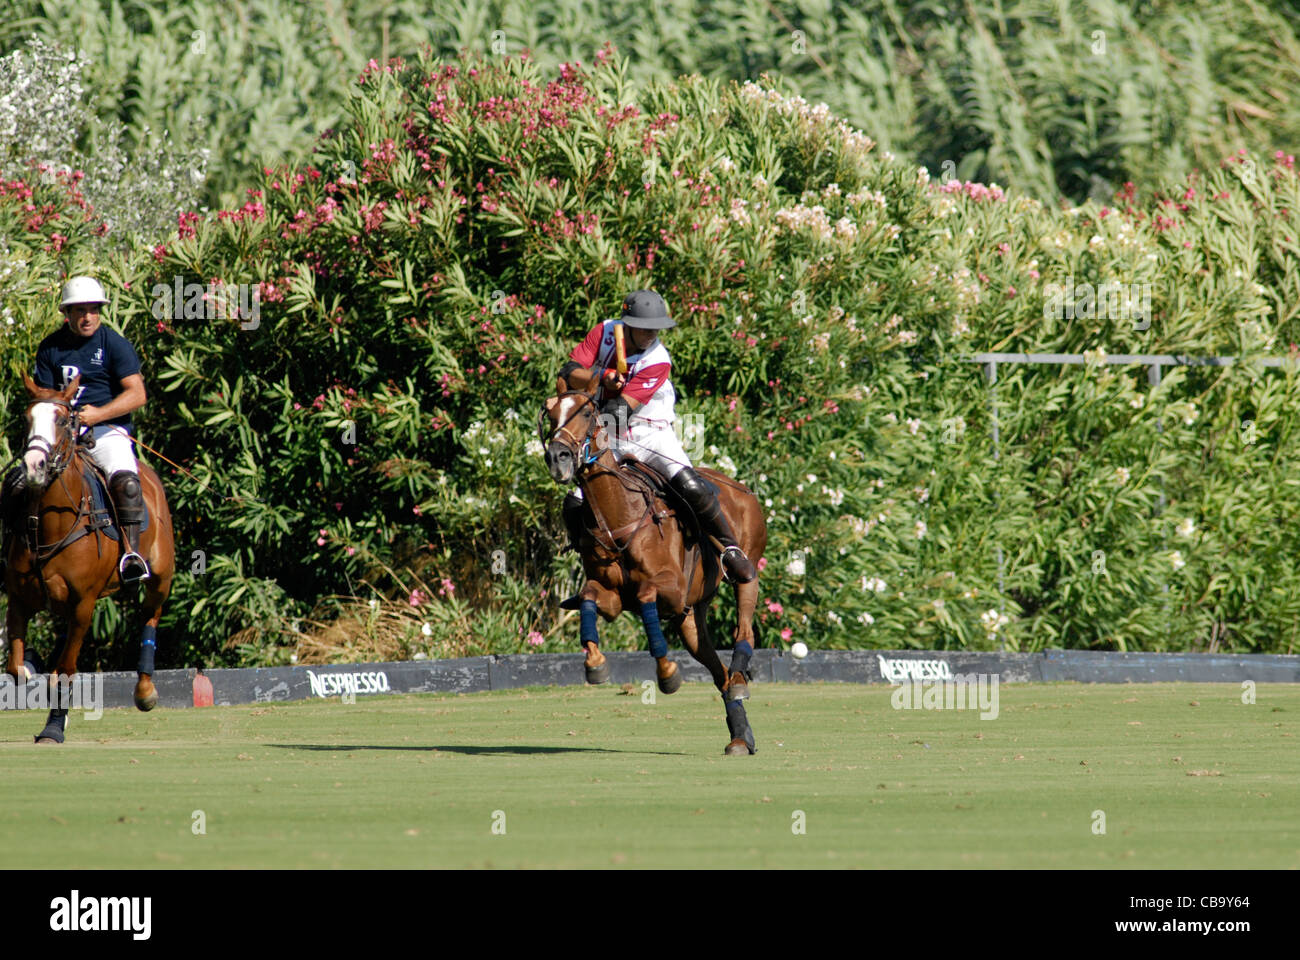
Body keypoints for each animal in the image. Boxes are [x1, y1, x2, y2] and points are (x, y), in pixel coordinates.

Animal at [3, 374, 175, 738]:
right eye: (26, 418)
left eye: (62, 420)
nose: (34, 466)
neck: (50, 524)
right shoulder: (18, 597)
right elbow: (15, 668)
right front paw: (32, 671)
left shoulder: (84, 602)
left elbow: (66, 670)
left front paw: (53, 730)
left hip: (161, 576)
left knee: (150, 615)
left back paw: (145, 691)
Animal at [535, 369, 759, 749]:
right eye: (550, 415)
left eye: (586, 412)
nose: (558, 457)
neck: (618, 517)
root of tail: (744, 490)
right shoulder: (615, 596)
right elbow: (591, 597)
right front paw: (595, 664)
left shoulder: (671, 589)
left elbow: (645, 593)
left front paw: (667, 672)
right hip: (691, 617)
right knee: (719, 672)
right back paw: (741, 736)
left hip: (746, 564)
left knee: (745, 610)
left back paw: (742, 670)